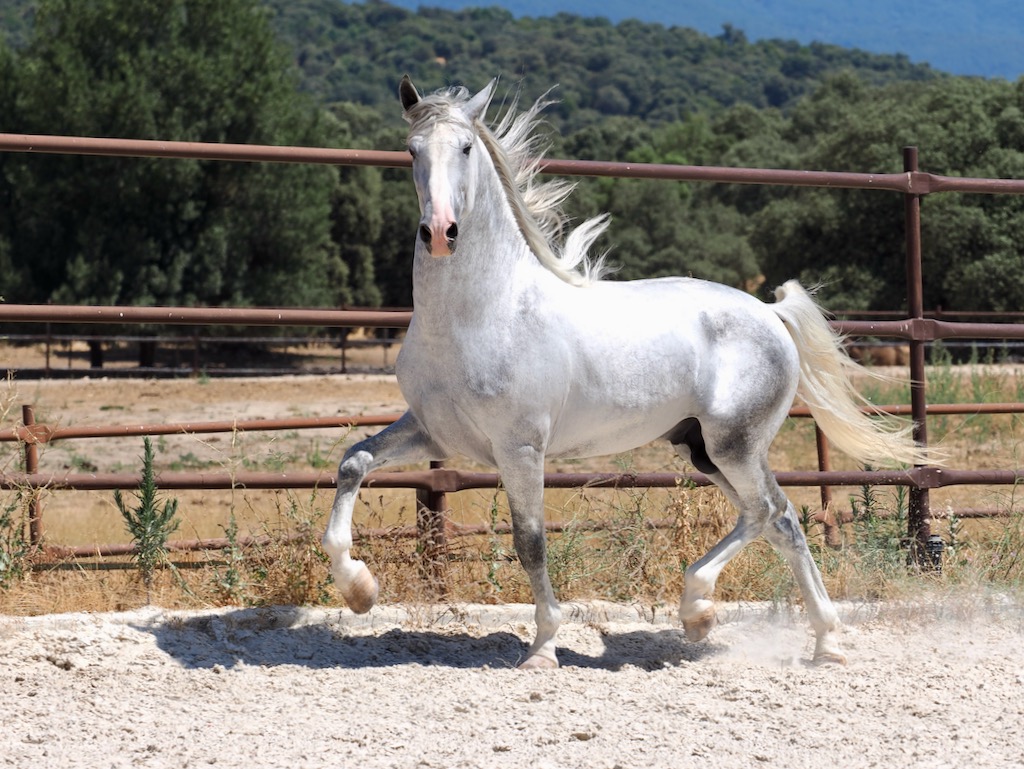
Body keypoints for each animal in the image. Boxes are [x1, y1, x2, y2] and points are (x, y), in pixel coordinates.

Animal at [321, 76, 929, 669]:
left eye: (466, 148)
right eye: (412, 150)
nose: (440, 233)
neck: (483, 313)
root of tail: (770, 313)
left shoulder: (521, 447)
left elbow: (530, 540)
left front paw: (543, 648)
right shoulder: (433, 432)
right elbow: (354, 463)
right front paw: (359, 591)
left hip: (734, 444)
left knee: (766, 511)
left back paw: (706, 611)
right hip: (703, 450)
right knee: (780, 521)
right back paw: (817, 641)